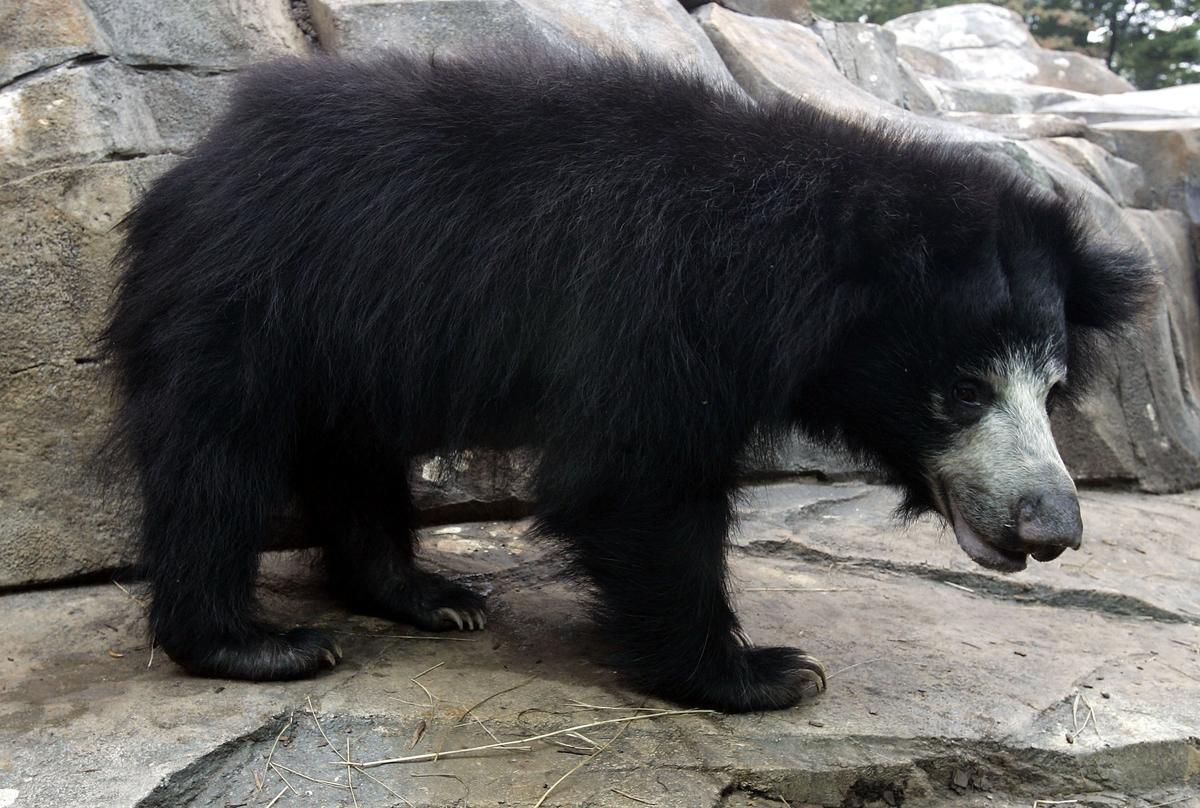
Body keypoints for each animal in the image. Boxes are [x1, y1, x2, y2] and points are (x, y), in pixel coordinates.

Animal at [101, 49, 1154, 712]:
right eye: (965, 390)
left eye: (1051, 391)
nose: (1052, 528)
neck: (793, 274)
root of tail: (200, 162)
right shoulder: (652, 304)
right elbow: (636, 477)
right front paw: (764, 674)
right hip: (248, 297)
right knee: (214, 461)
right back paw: (256, 643)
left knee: (354, 458)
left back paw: (429, 595)